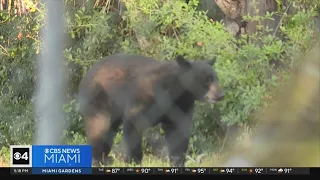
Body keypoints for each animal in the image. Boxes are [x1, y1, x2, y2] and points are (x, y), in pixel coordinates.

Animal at [77, 53, 224, 166]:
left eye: (216, 78)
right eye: (207, 80)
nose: (221, 95)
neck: (176, 90)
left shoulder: (181, 106)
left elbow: (178, 132)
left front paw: (177, 162)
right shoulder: (145, 97)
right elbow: (133, 126)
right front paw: (133, 161)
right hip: (98, 100)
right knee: (98, 128)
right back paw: (97, 160)